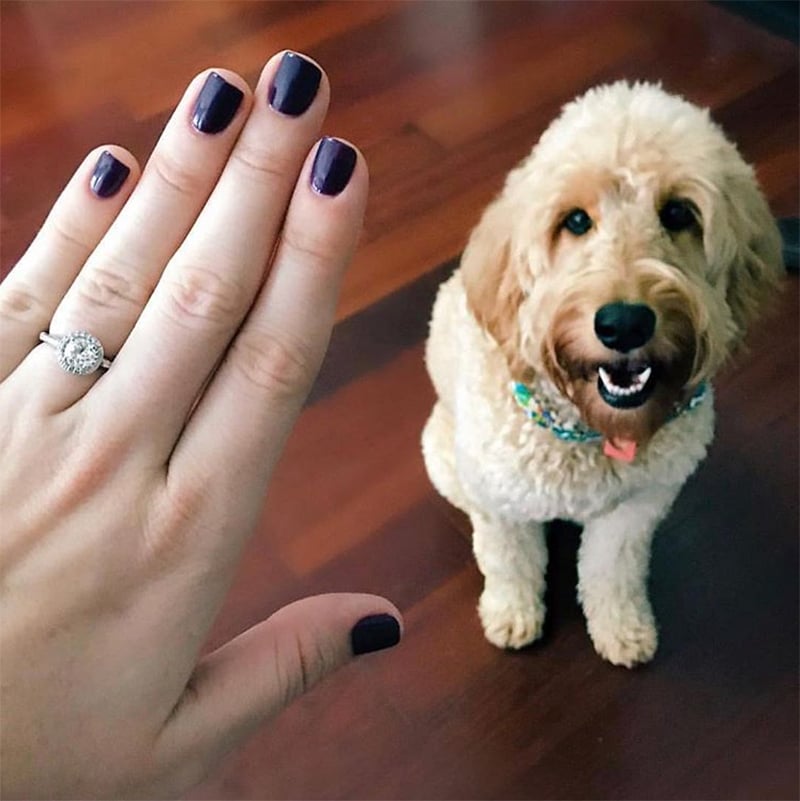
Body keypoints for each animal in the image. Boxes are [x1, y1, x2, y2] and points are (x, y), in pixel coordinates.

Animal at [422, 83, 784, 668]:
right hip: (445, 458)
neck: (591, 428)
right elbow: (509, 562)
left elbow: (613, 572)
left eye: (678, 213)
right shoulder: (503, 503)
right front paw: (512, 614)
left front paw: (622, 628)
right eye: (574, 221)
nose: (624, 323)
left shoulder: (639, 506)